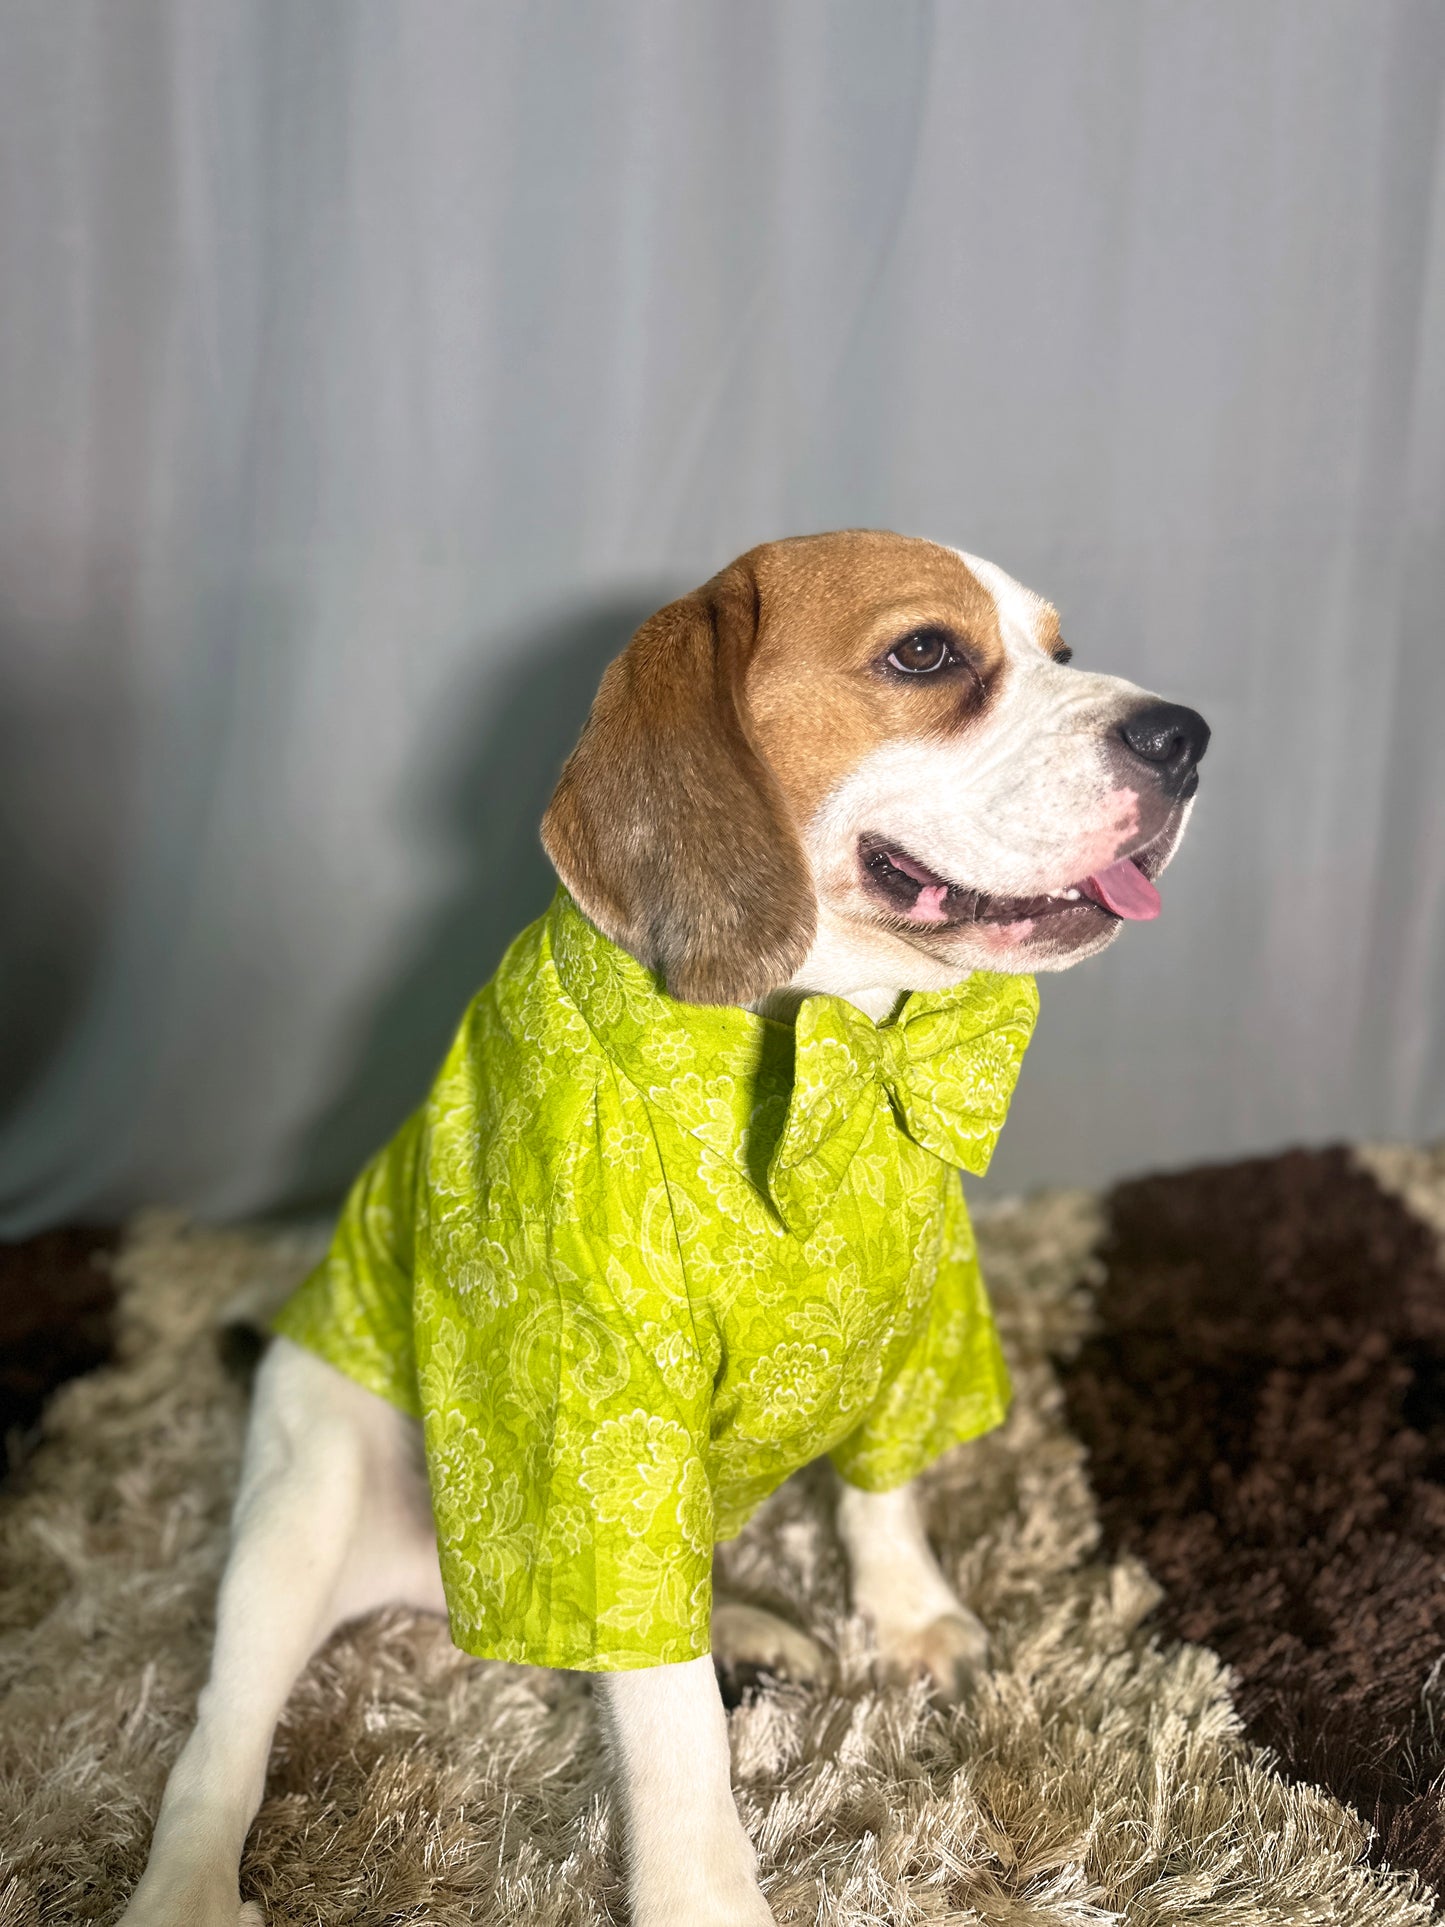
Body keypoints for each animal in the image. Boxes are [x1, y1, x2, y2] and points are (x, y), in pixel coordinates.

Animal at [118, 531, 1209, 1927]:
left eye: (1060, 652)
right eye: (925, 653)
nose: (1184, 737)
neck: (829, 1040)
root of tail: (431, 1589)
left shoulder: (918, 1321)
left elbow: (882, 1491)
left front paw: (906, 1614)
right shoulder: (608, 1433)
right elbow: (671, 1721)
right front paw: (706, 1890)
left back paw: (745, 1623)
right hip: (303, 1498)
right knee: (224, 1734)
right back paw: (187, 1885)